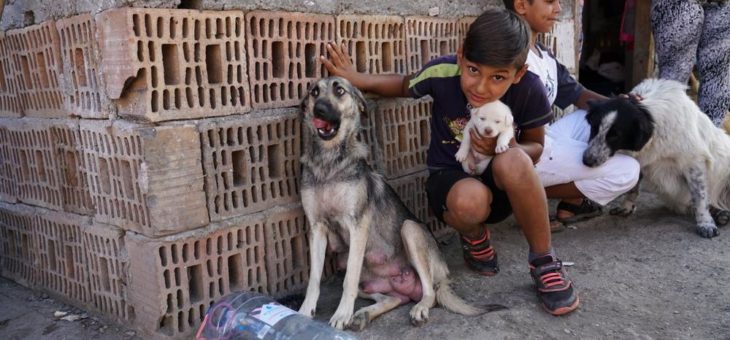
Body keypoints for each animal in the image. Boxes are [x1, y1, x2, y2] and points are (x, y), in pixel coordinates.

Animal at [296, 76, 484, 330]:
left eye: (339, 90)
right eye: (314, 92)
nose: (319, 109)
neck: (328, 162)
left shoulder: (357, 226)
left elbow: (348, 281)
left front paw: (341, 314)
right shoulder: (316, 228)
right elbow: (314, 279)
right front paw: (304, 313)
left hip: (411, 230)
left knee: (430, 294)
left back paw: (419, 309)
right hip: (351, 266)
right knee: (393, 298)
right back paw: (363, 315)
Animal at [580, 78, 728, 238]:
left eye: (615, 135)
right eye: (594, 128)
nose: (586, 161)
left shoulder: (694, 162)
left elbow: (700, 197)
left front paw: (705, 223)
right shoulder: (639, 161)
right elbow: (633, 188)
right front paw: (626, 206)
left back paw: (721, 213)